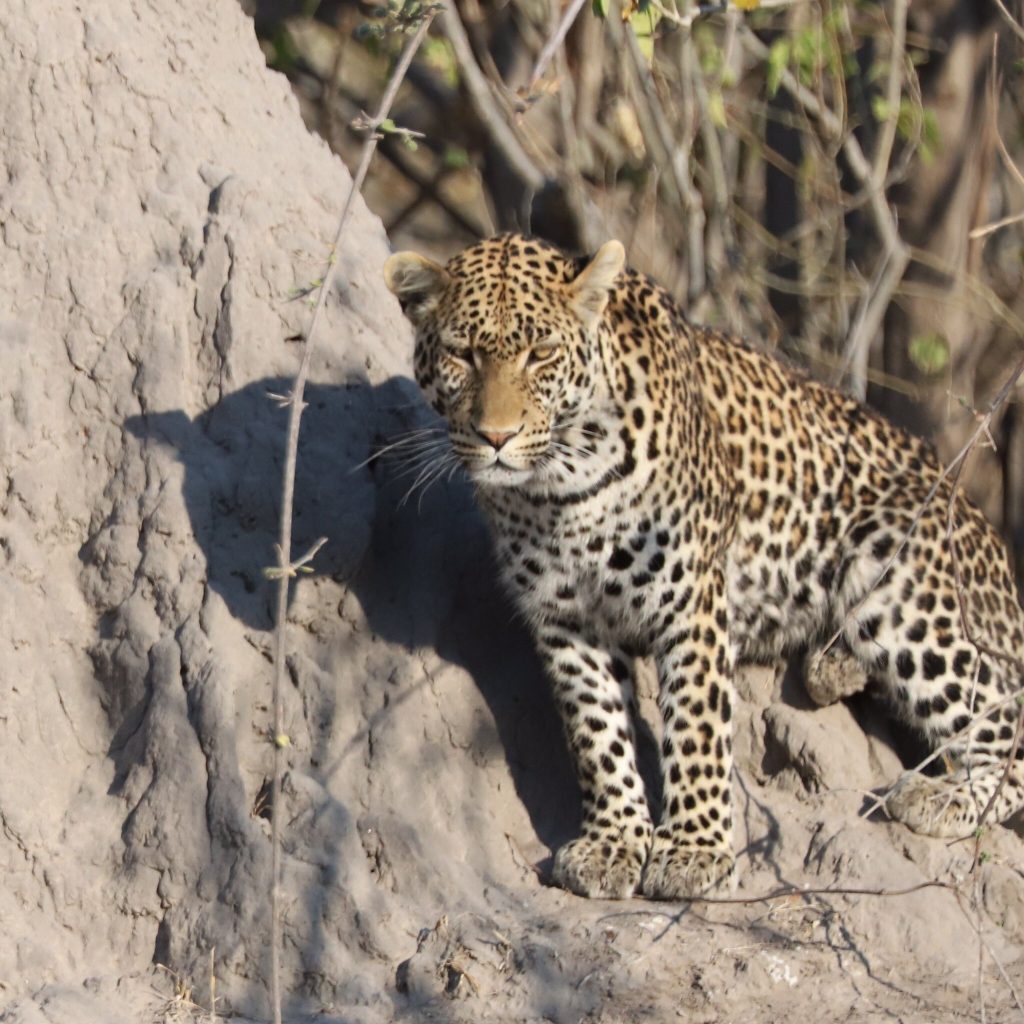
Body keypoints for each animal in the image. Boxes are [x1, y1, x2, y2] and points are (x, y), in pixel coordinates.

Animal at [384, 231, 1024, 900]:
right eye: (461, 354)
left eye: (542, 354)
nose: (497, 438)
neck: (556, 492)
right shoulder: (564, 616)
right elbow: (596, 729)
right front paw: (614, 841)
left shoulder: (691, 598)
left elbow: (696, 721)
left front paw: (695, 850)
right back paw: (834, 669)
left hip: (906, 590)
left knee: (1010, 733)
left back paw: (939, 797)